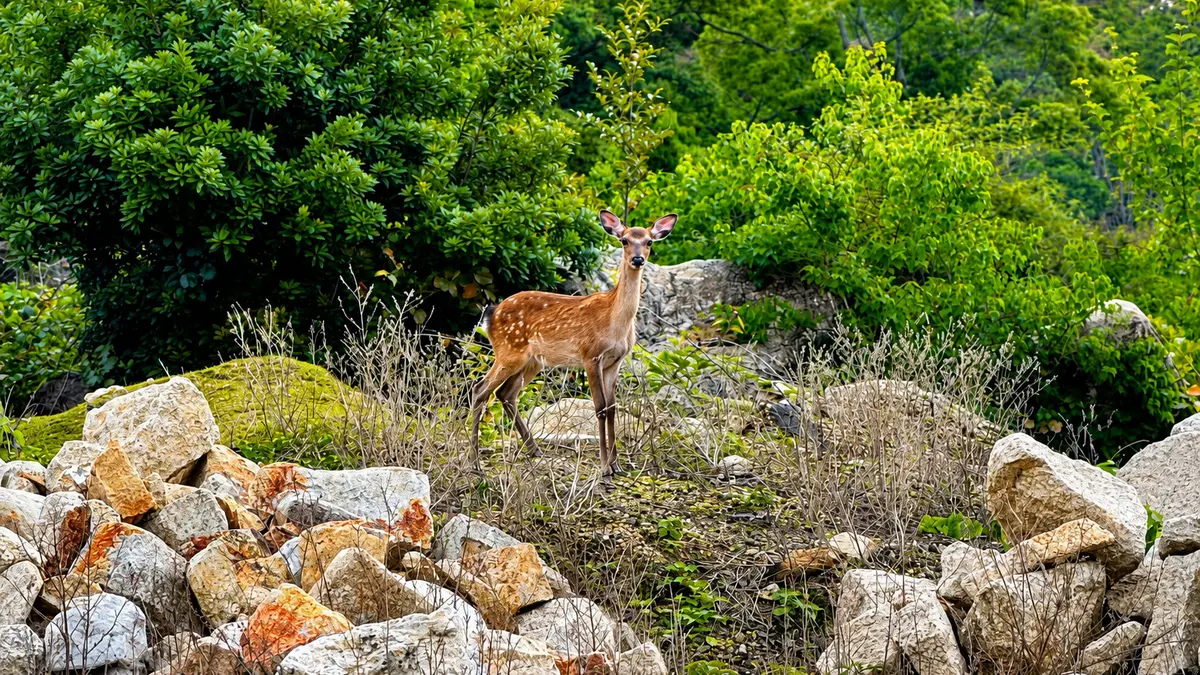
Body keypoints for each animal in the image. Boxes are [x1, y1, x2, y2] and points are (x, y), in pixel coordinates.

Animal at [469, 209, 678, 478]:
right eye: (624, 240)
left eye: (649, 242)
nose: (638, 259)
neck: (615, 322)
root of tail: (491, 314)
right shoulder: (590, 355)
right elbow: (600, 407)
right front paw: (604, 467)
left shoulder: (615, 362)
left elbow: (612, 407)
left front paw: (617, 465)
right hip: (508, 351)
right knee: (480, 389)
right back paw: (475, 463)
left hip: (533, 361)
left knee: (505, 393)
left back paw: (534, 450)